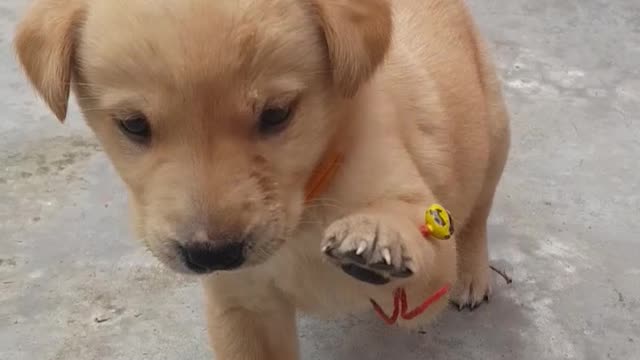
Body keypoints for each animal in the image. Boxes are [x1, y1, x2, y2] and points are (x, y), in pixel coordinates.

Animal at [13, 0, 510, 358]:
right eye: (133, 125)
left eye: (276, 114)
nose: (212, 254)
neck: (308, 202)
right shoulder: (243, 309)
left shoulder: (421, 286)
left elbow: (417, 236)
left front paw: (377, 234)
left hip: (495, 134)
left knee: (477, 217)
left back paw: (472, 275)